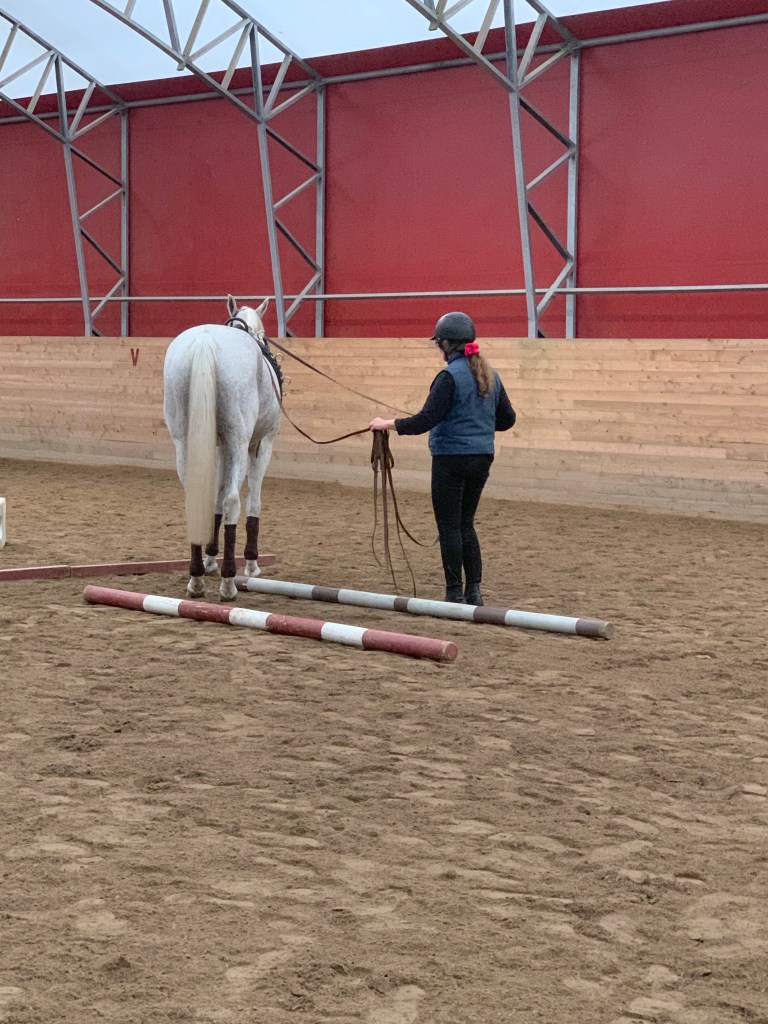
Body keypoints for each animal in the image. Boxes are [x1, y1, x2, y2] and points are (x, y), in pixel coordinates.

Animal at [163, 295, 282, 601]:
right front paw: (251, 564)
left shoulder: (216, 447)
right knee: (232, 501)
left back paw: (196, 580)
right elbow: (251, 502)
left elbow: (213, 499)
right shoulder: (260, 445)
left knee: (198, 499)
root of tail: (205, 343)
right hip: (239, 442)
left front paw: (209, 559)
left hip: (185, 441)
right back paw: (229, 584)